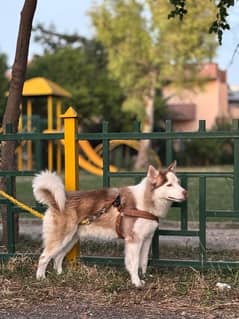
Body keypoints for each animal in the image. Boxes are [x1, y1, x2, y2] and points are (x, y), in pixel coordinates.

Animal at [33, 161, 187, 288]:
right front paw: (136, 282)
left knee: (58, 257)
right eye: (169, 185)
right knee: (44, 257)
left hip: (71, 239)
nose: (186, 193)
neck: (145, 202)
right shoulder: (133, 241)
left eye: (178, 182)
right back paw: (41, 278)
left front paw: (144, 277)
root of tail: (57, 201)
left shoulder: (146, 239)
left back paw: (61, 275)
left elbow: (143, 262)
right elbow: (134, 263)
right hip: (61, 238)